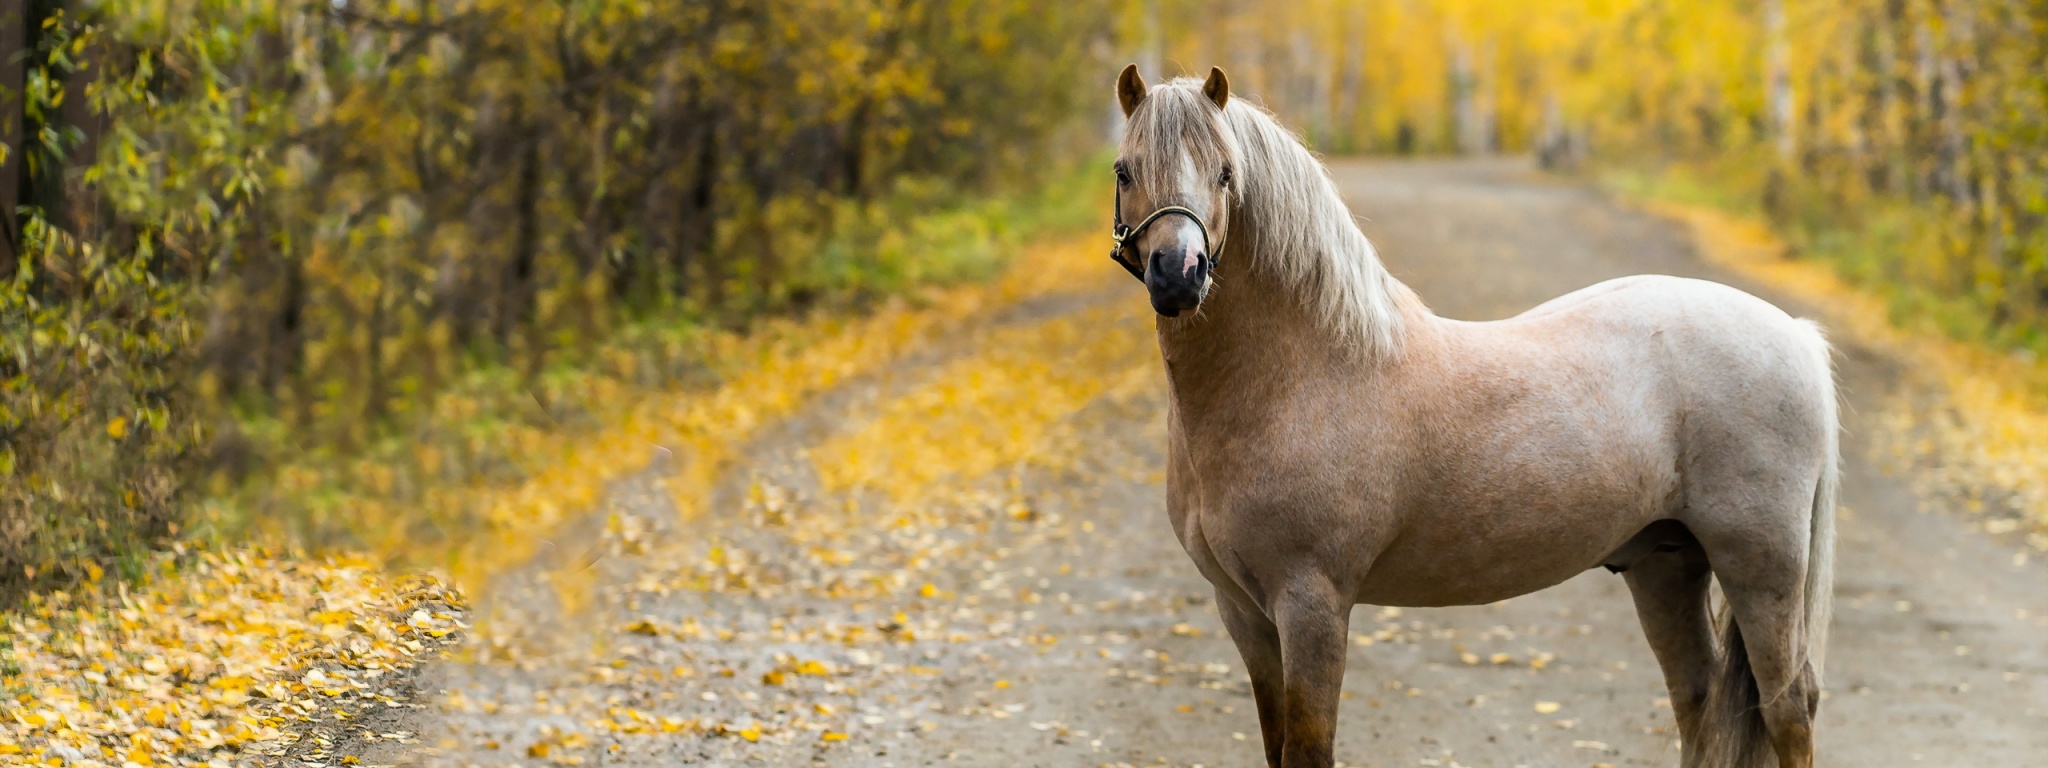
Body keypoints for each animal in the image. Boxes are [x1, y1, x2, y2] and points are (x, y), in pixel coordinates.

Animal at [1122, 66, 1843, 768]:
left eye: (1225, 172)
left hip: (1761, 566)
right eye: (1124, 169)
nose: (1179, 275)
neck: (1301, 375)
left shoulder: (1312, 605)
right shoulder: (1242, 611)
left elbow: (1307, 748)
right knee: (1696, 699)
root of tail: (1795, 334)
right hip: (1667, 564)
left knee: (1788, 708)